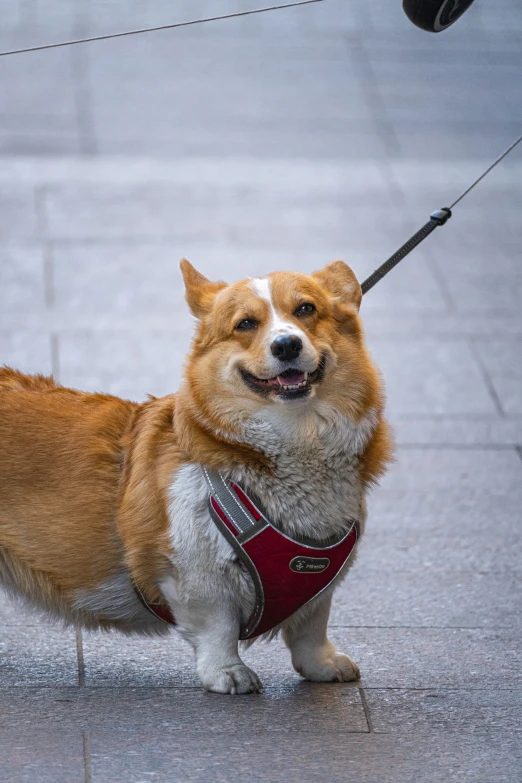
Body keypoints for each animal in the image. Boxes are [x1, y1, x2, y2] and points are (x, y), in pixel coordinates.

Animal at [0, 260, 390, 696]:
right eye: (245, 323)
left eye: (306, 309)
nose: (287, 345)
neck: (297, 436)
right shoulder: (194, 569)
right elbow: (217, 626)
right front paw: (228, 673)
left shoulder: (319, 584)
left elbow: (311, 625)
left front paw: (323, 665)